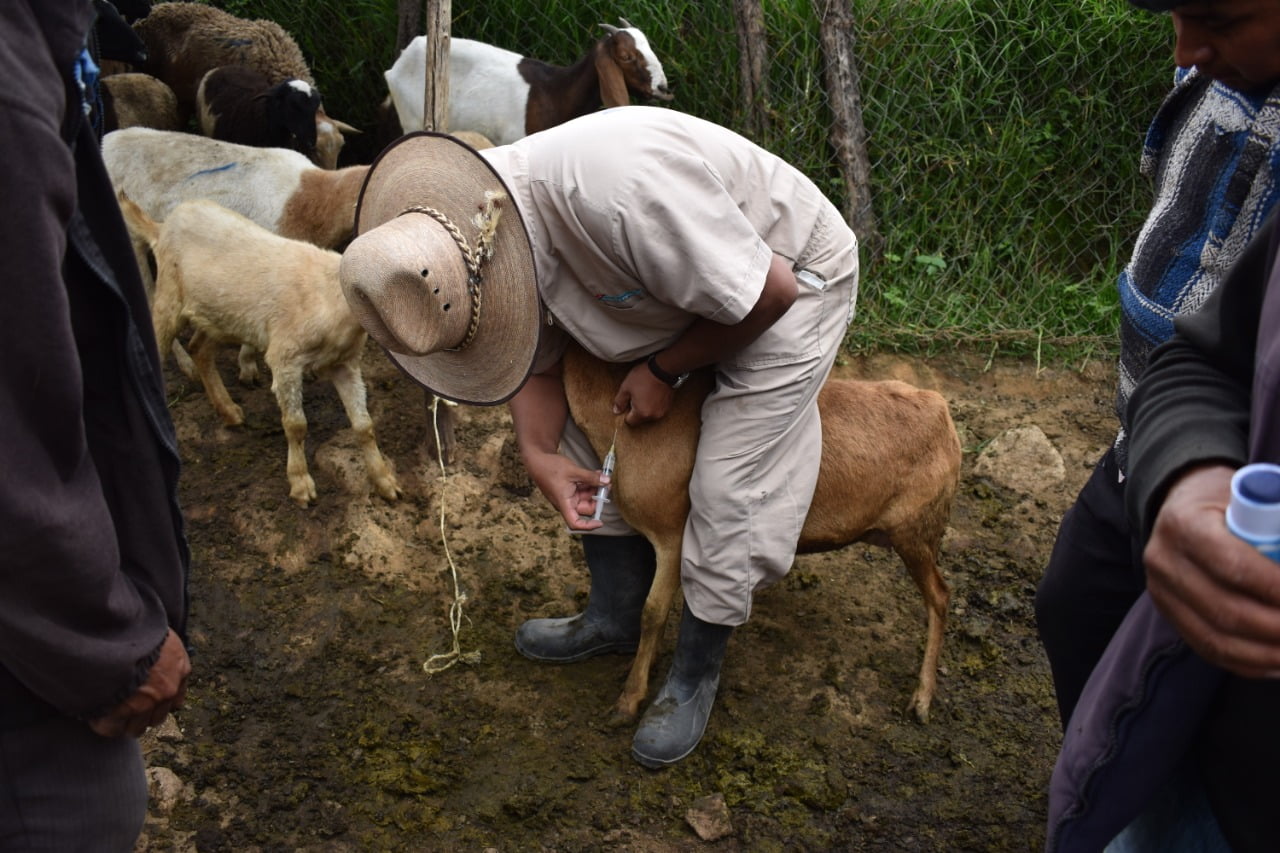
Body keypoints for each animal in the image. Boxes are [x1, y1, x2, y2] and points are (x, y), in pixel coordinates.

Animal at [119, 192, 401, 504]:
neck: (333, 298)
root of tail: (162, 226)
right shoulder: (285, 358)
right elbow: (296, 425)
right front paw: (300, 483)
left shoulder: (345, 363)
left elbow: (364, 425)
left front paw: (385, 481)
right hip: (169, 296)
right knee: (160, 346)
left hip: (221, 314)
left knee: (200, 349)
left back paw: (228, 411)